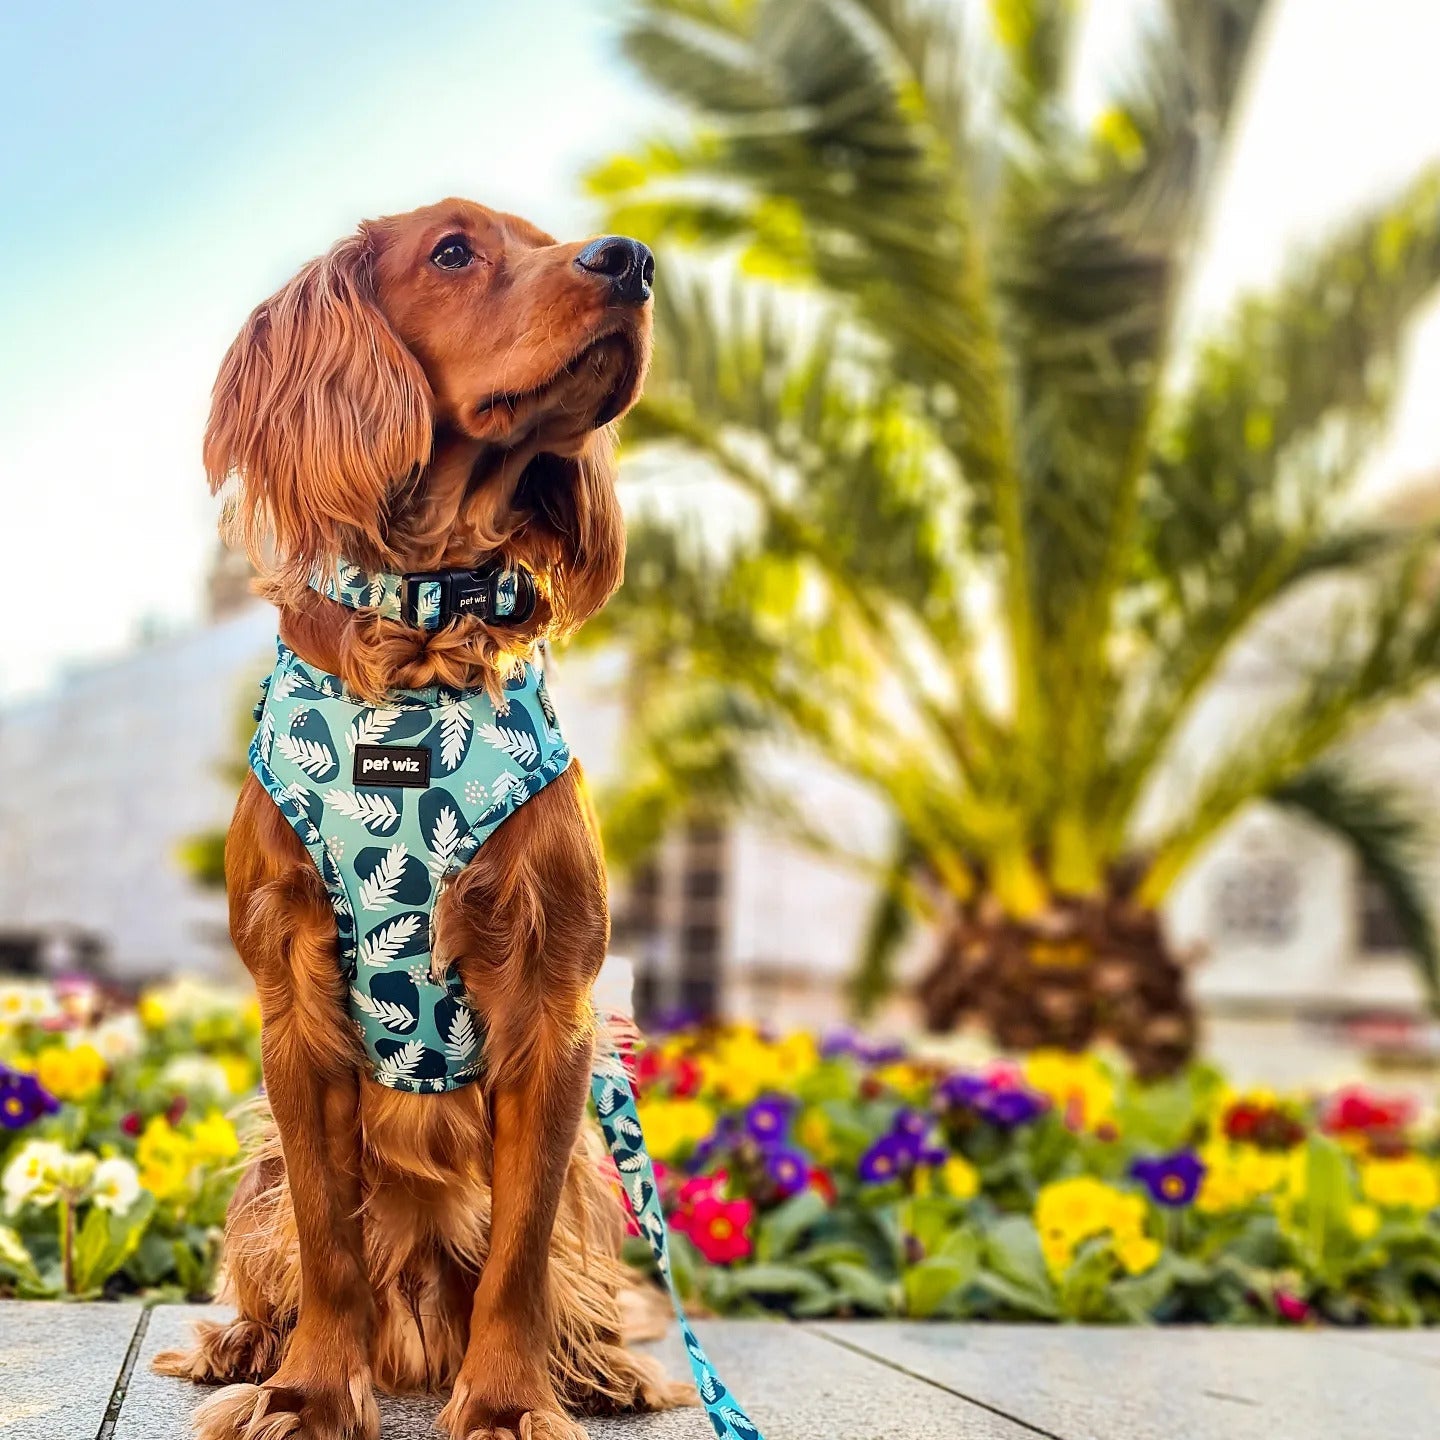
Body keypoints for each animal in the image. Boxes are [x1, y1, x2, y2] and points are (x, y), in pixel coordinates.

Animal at [154, 200, 694, 1440]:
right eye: (454, 251)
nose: (633, 261)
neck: (426, 633)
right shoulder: (294, 1006)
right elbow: (326, 1238)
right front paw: (307, 1391)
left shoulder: (554, 1007)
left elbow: (521, 1257)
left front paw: (505, 1403)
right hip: (259, 1163)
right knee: (280, 1251)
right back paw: (241, 1347)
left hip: (593, 1168)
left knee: (571, 1271)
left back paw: (600, 1366)